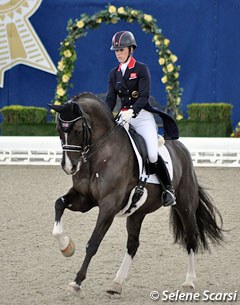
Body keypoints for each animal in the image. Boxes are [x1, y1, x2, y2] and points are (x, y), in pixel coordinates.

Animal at [49, 92, 224, 294]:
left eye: (77, 130)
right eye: (58, 129)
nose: (69, 166)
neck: (101, 154)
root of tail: (181, 148)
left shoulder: (108, 205)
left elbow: (93, 243)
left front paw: (77, 282)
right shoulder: (83, 199)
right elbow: (59, 204)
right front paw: (66, 247)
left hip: (185, 206)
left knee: (191, 237)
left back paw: (189, 281)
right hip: (137, 213)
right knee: (133, 244)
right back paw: (117, 283)